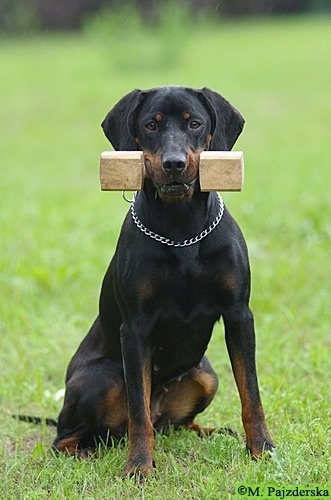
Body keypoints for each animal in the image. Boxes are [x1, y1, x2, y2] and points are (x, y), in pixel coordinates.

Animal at [52, 86, 274, 476]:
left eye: (195, 123)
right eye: (151, 125)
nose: (174, 164)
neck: (181, 228)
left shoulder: (238, 314)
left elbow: (251, 393)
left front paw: (261, 448)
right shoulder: (135, 328)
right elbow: (138, 412)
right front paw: (139, 467)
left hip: (205, 375)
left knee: (176, 424)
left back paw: (213, 431)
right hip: (101, 381)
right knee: (72, 435)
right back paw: (85, 453)